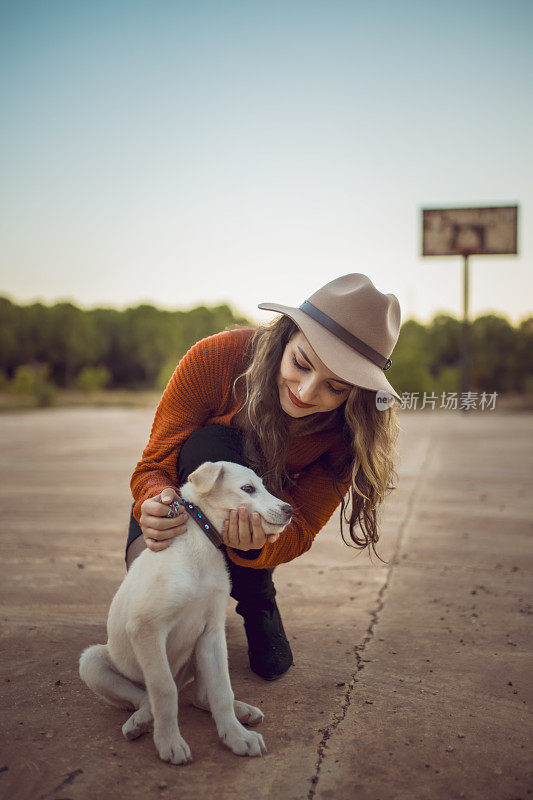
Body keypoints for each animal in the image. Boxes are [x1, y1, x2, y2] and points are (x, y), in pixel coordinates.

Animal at [80, 462, 290, 768]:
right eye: (248, 489)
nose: (290, 509)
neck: (200, 543)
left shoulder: (212, 632)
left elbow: (222, 690)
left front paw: (236, 736)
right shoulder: (145, 628)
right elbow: (163, 689)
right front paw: (169, 742)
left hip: (199, 650)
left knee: (201, 696)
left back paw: (241, 712)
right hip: (94, 662)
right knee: (148, 696)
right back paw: (141, 720)